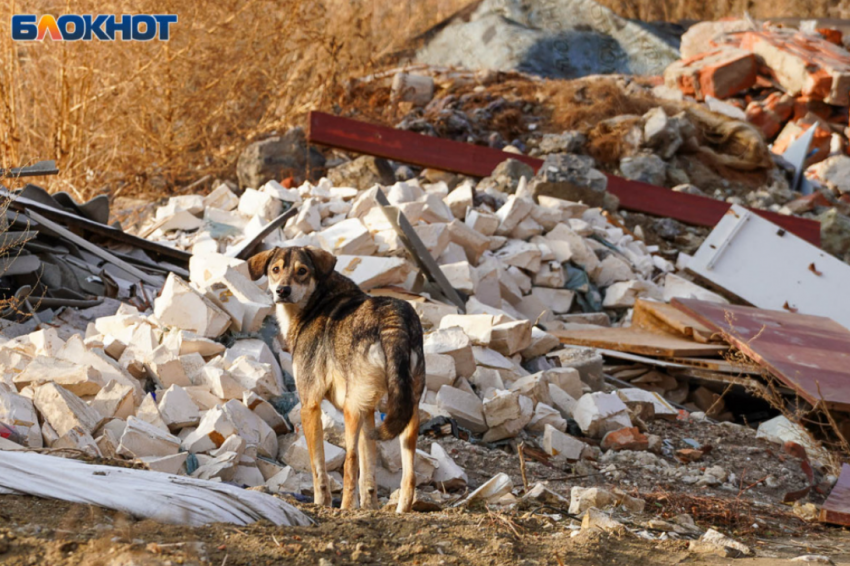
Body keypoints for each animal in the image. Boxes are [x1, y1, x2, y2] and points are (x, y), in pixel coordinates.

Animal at [250, 246, 424, 512]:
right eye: (275, 269)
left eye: (302, 271)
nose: (282, 291)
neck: (315, 301)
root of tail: (394, 321)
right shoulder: (369, 411)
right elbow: (369, 473)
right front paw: (369, 507)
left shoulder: (309, 405)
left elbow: (318, 467)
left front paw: (321, 503)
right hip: (407, 410)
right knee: (409, 474)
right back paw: (400, 509)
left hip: (351, 410)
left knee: (350, 462)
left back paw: (344, 508)